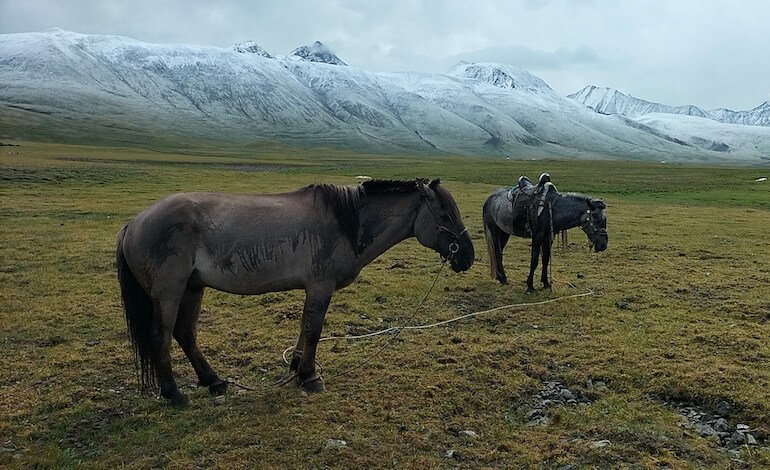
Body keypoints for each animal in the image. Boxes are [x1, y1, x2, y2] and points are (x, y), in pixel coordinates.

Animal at [116, 178, 474, 405]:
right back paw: (174, 393)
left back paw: (214, 382)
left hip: (193, 288)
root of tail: (133, 223)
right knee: (162, 336)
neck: (346, 224)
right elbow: (314, 330)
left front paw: (297, 366)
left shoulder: (313, 288)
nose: (467, 256)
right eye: (444, 215)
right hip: (170, 292)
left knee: (186, 334)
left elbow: (304, 327)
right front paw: (309, 376)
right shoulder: (320, 286)